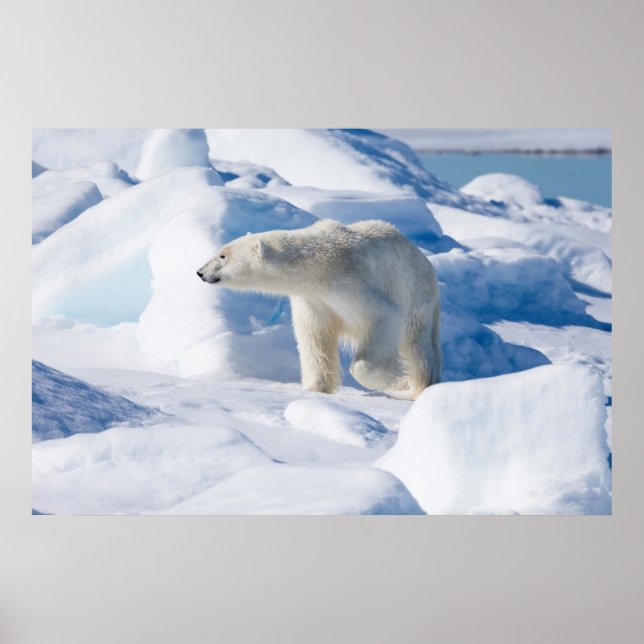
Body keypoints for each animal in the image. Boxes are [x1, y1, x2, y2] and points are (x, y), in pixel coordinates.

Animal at [197, 219, 441, 399]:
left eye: (223, 255)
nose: (200, 272)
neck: (317, 264)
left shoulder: (348, 282)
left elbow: (383, 315)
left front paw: (396, 381)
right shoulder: (313, 299)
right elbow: (314, 337)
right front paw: (316, 388)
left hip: (414, 293)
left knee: (417, 346)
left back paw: (419, 385)